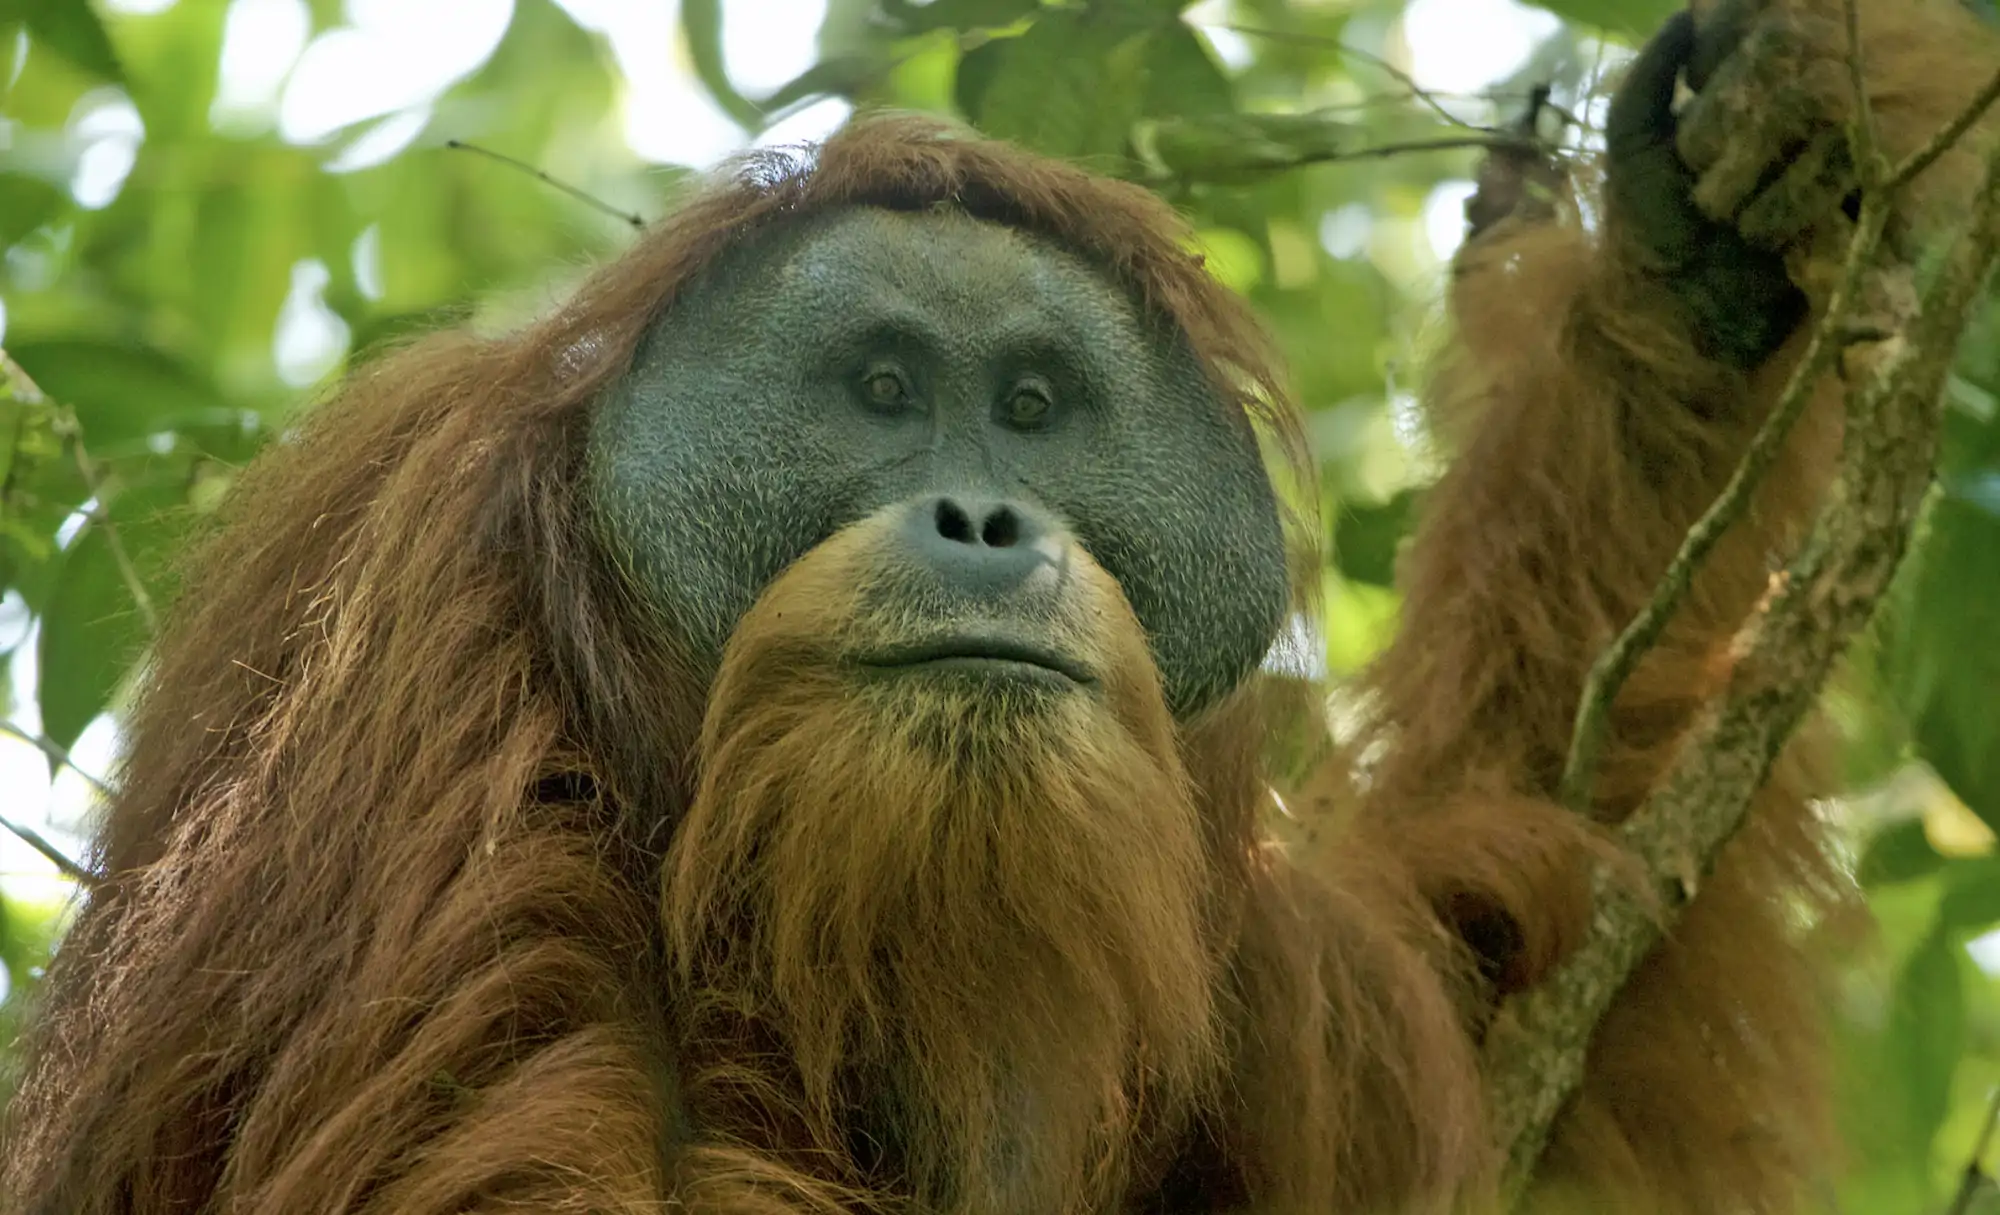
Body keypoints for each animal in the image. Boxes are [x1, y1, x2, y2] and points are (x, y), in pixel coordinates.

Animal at [2, 0, 1994, 1212]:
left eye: (1033, 407)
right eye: (884, 389)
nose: (982, 511)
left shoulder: (1244, 964)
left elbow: (1507, 993)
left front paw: (1711, 244)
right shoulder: (416, 633)